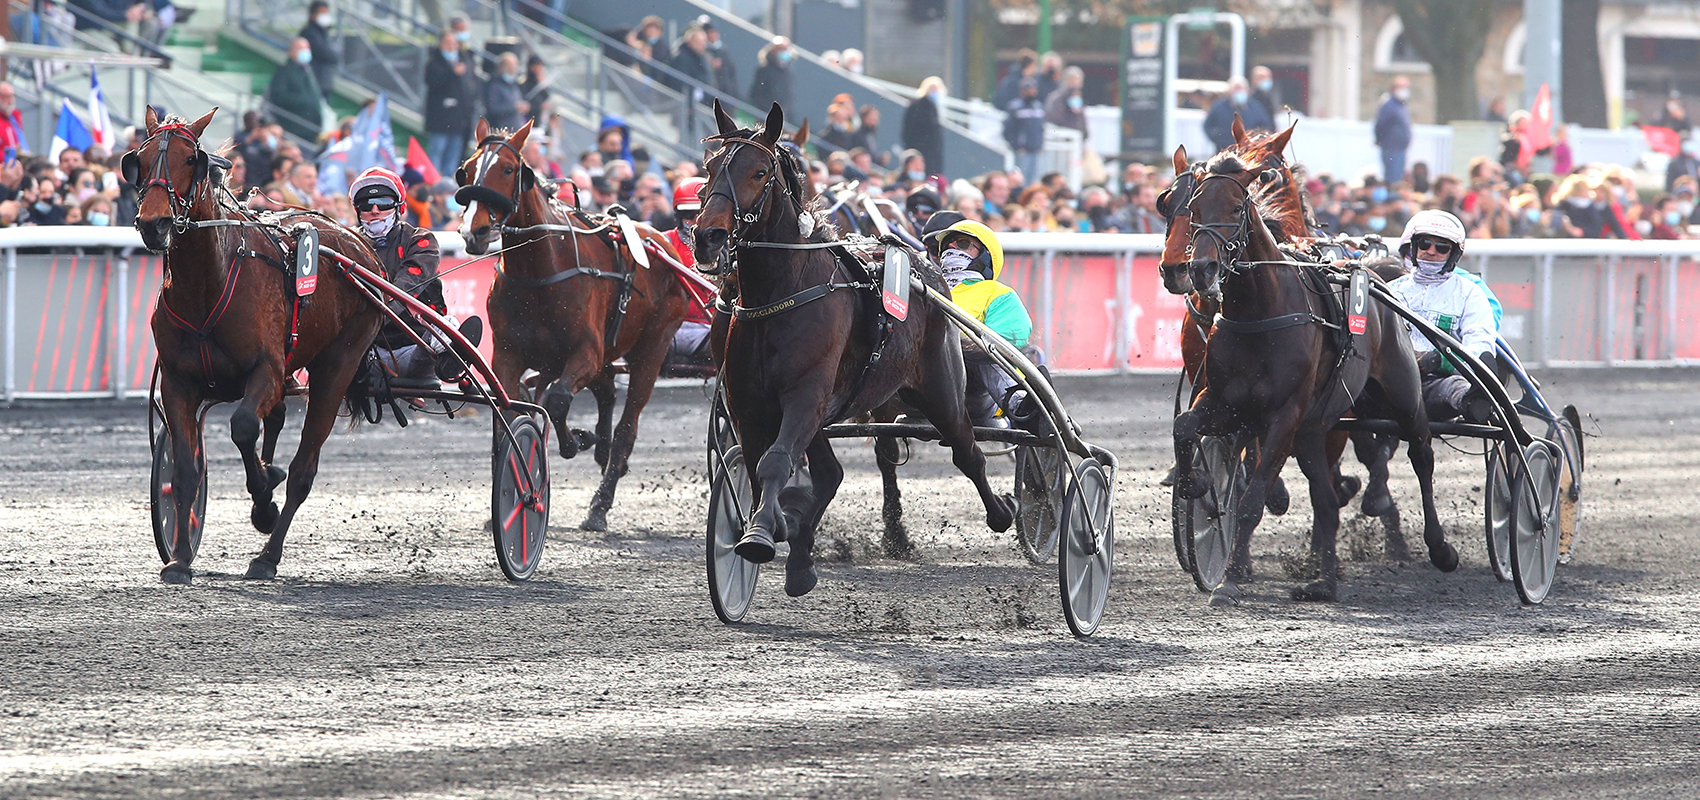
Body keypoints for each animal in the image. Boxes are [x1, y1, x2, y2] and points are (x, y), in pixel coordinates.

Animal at [132, 104, 385, 580]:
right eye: (137, 159)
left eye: (190, 159)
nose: (153, 224)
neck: (206, 285)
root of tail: (362, 247)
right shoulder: (178, 381)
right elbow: (186, 468)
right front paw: (179, 558)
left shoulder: (265, 370)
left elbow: (244, 426)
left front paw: (265, 499)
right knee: (280, 415)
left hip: (338, 364)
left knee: (304, 467)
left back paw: (268, 554)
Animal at [459, 117, 690, 533]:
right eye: (467, 169)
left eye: (508, 169)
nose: (475, 231)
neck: (540, 270)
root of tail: (660, 241)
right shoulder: (508, 354)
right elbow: (515, 407)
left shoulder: (585, 352)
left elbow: (558, 399)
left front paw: (575, 441)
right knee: (606, 394)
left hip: (652, 347)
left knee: (627, 426)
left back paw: (600, 503)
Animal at [690, 100, 1006, 597]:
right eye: (711, 166)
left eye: (759, 171)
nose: (709, 237)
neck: (780, 292)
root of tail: (926, 267)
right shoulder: (747, 404)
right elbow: (762, 467)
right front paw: (775, 526)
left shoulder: (806, 395)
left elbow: (775, 462)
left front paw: (760, 534)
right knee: (831, 473)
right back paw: (801, 557)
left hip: (940, 389)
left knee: (967, 451)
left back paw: (1001, 513)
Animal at [1176, 142, 1455, 608]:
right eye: (1194, 208)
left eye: (1235, 207)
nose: (1200, 269)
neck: (1259, 312)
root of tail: (1374, 275)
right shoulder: (1223, 401)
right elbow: (1184, 427)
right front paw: (1194, 482)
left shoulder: (1283, 417)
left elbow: (1251, 501)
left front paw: (1229, 581)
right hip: (1315, 428)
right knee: (1326, 499)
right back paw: (1322, 582)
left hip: (1402, 398)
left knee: (1421, 457)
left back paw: (1438, 547)